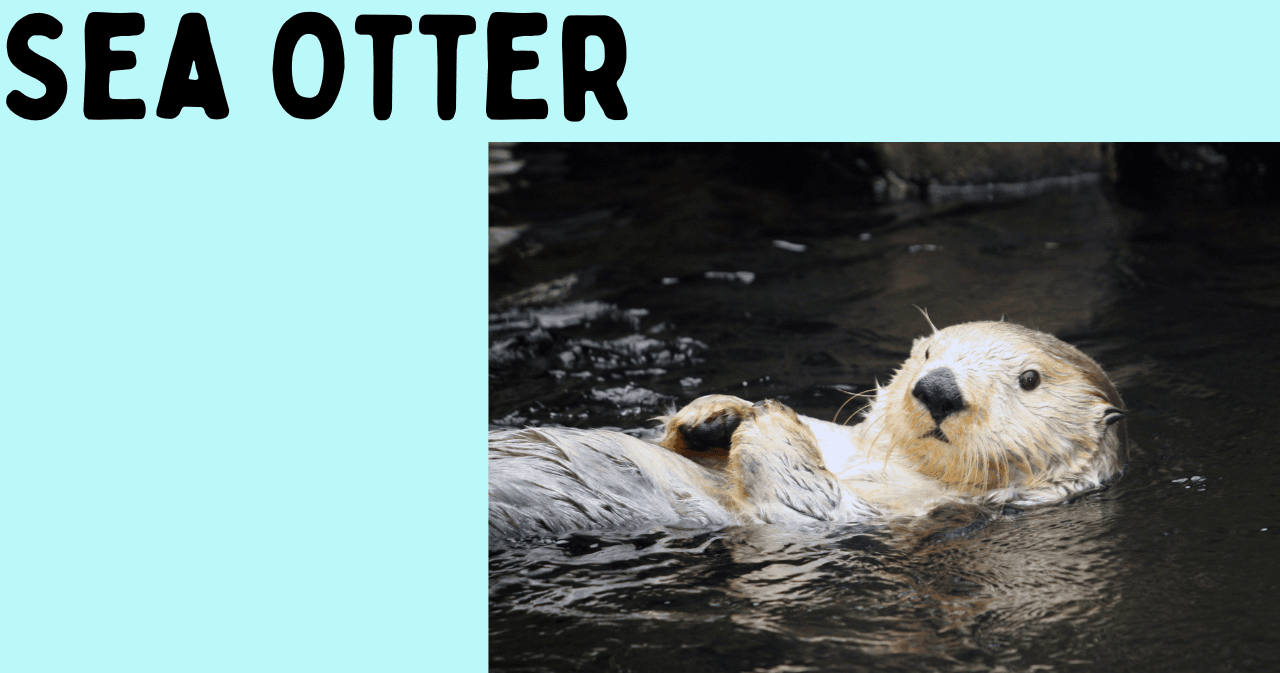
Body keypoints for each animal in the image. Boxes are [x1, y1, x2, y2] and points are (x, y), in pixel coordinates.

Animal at [489, 320, 1126, 543]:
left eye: (1029, 379)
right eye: (928, 352)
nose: (939, 388)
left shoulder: (881, 512)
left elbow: (801, 500)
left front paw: (770, 418)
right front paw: (715, 411)